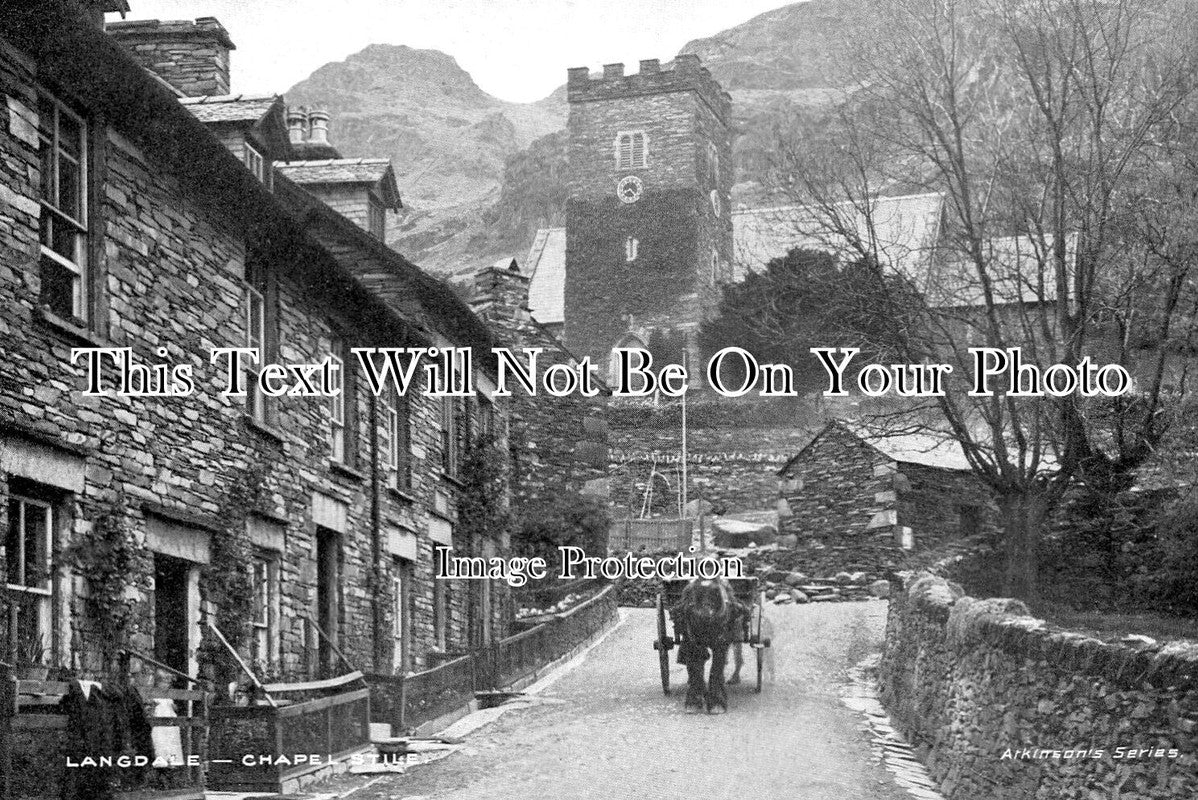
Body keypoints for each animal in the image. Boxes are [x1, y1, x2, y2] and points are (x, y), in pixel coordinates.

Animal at [675, 577, 747, 713]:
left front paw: (716, 704)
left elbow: (717, 667)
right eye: (692, 596)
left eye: (716, 594)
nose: (705, 615)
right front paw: (693, 703)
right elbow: (694, 667)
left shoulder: (722, 639)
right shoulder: (690, 638)